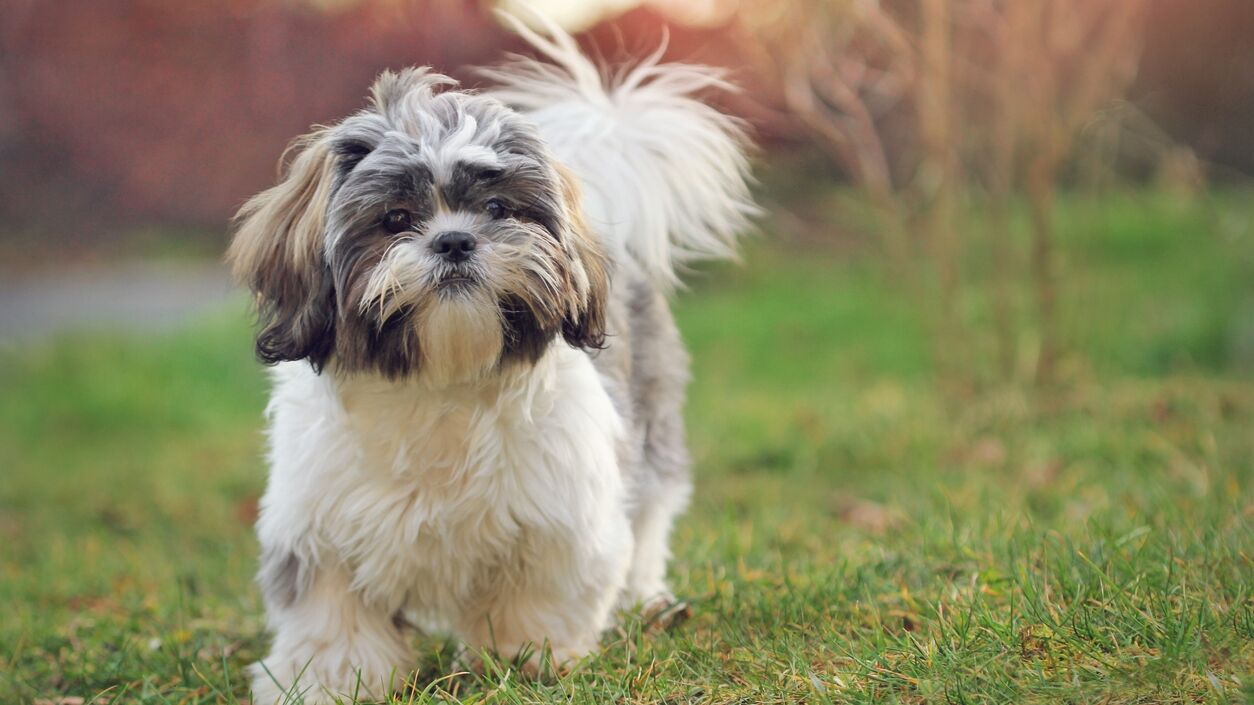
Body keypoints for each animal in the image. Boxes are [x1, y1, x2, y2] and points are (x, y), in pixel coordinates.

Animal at [228, 16, 752, 702]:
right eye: (395, 218)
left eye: (499, 209)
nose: (454, 240)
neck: (441, 381)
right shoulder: (318, 525)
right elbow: (331, 615)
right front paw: (328, 681)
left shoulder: (560, 517)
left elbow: (539, 596)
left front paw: (529, 660)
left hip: (652, 430)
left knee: (648, 523)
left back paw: (647, 602)